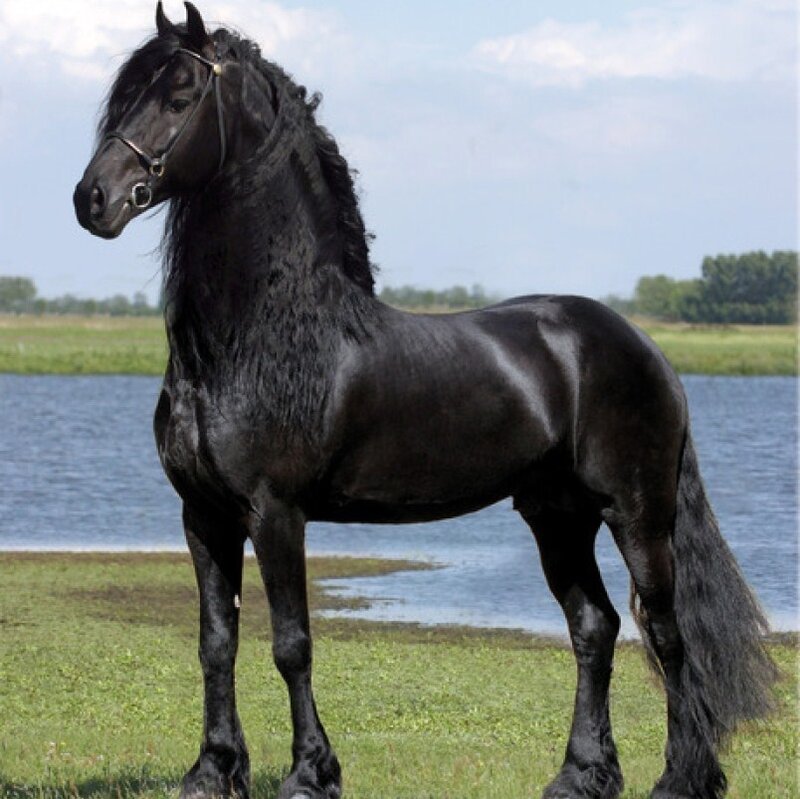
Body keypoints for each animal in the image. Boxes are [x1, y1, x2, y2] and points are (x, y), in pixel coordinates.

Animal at [73, 4, 777, 798]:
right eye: (125, 95)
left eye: (180, 93)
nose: (93, 198)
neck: (258, 335)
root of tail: (646, 349)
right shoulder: (203, 514)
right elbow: (216, 640)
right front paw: (212, 770)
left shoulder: (275, 511)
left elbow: (291, 642)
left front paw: (311, 773)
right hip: (556, 515)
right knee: (593, 627)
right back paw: (580, 775)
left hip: (635, 512)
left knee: (666, 633)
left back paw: (683, 777)